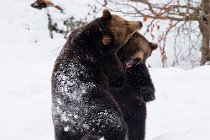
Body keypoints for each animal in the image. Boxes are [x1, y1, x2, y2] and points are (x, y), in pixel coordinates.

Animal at [51, 9, 142, 139]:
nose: (139, 23)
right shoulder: (105, 61)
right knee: (117, 126)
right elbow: (118, 78)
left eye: (124, 20)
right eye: (126, 26)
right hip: (101, 109)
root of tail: (75, 120)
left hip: (61, 127)